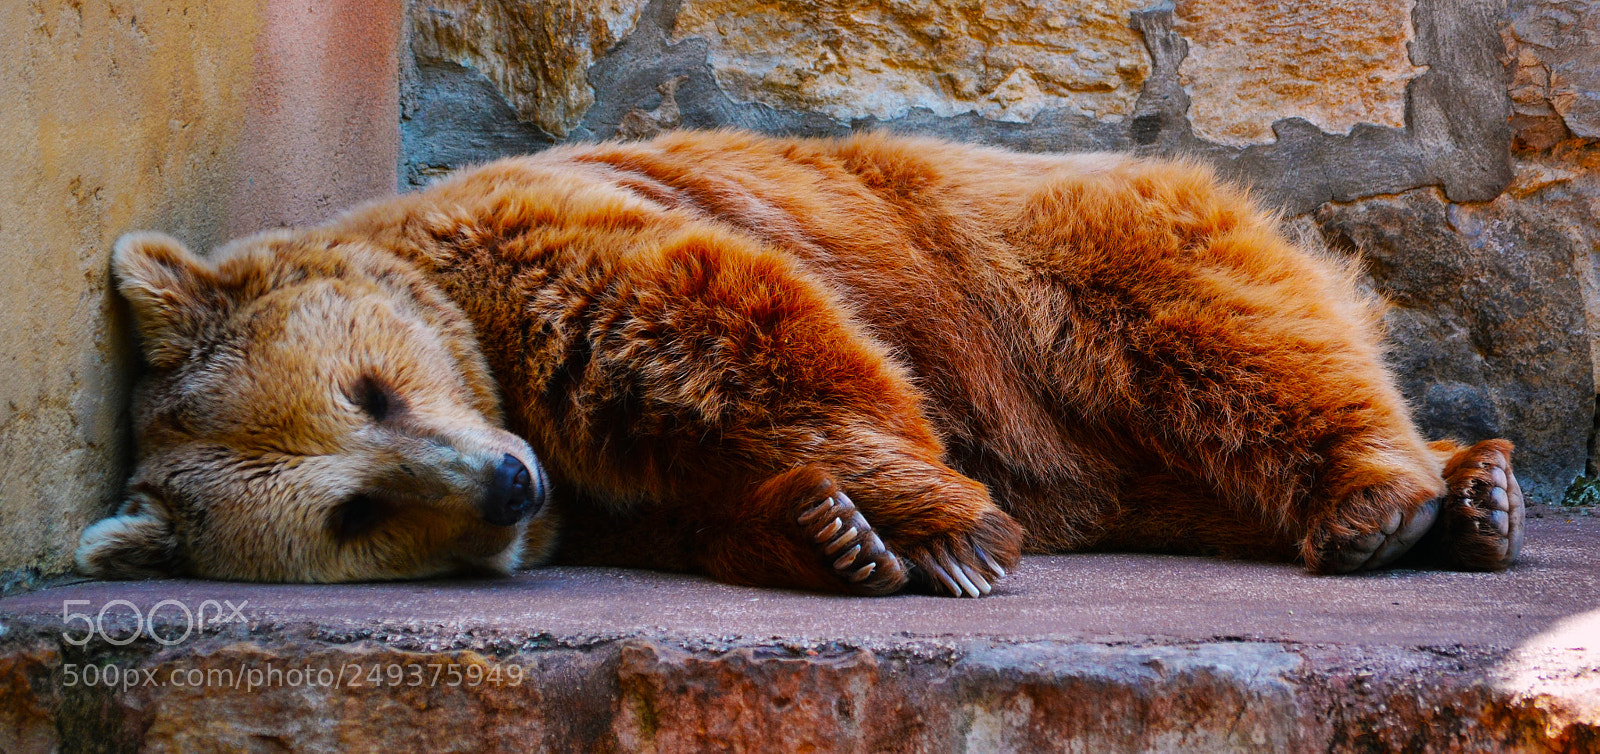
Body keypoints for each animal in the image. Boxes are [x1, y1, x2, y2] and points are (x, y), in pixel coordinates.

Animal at [75, 130, 1524, 596]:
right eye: (354, 511)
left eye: (370, 388)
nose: (502, 485)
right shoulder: (620, 496)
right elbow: (711, 512)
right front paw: (837, 535)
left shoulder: (557, 255)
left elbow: (748, 326)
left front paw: (939, 530)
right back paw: (1479, 490)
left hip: (1060, 263)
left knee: (1227, 339)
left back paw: (1386, 498)